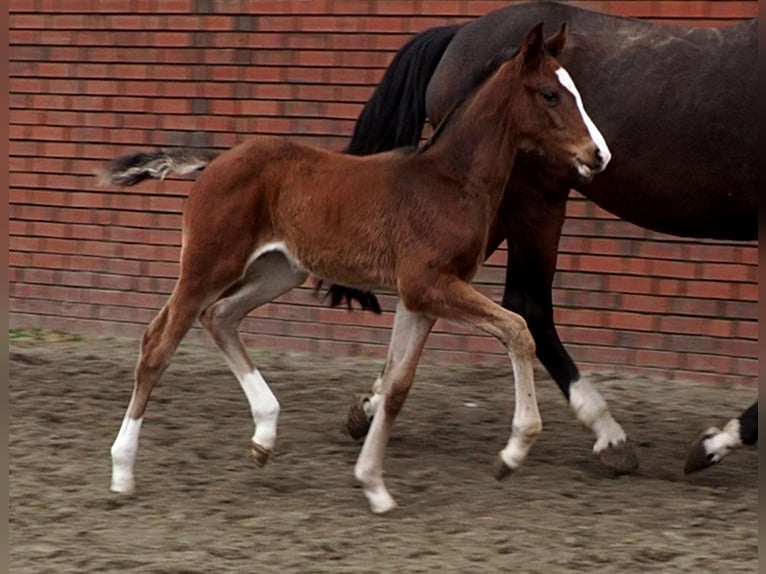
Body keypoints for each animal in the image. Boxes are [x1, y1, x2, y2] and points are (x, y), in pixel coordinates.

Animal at [97, 24, 612, 516]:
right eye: (550, 93)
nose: (600, 155)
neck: (448, 181)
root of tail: (217, 160)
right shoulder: (429, 285)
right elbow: (519, 329)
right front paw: (512, 453)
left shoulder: (421, 299)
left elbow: (398, 386)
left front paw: (374, 486)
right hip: (208, 265)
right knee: (158, 343)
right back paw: (122, 473)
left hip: (280, 270)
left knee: (220, 316)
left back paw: (264, 434)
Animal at [332, 1, 760, 476]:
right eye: (552, 95)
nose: (601, 153)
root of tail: (459, 32)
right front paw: (713, 443)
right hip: (532, 200)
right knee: (528, 303)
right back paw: (608, 434)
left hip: (495, 208)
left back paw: (369, 407)